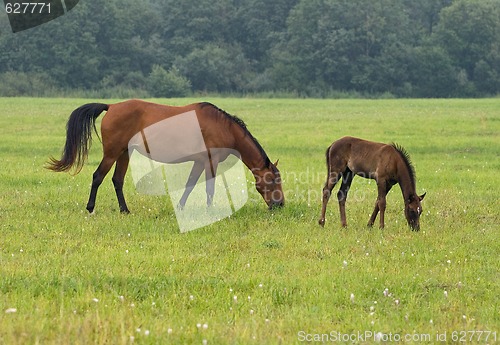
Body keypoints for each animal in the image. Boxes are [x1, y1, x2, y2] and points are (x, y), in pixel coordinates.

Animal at [47, 99, 286, 212]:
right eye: (273, 180)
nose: (280, 204)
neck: (222, 126)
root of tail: (111, 106)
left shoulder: (199, 161)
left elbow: (190, 185)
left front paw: (180, 207)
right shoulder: (211, 161)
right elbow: (209, 188)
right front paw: (210, 211)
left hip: (124, 154)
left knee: (117, 180)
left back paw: (125, 210)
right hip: (112, 153)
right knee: (98, 177)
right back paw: (90, 208)